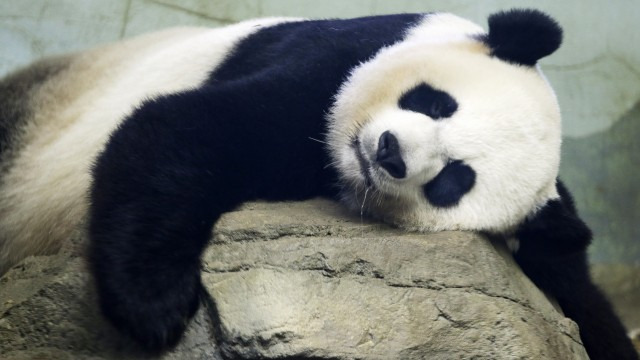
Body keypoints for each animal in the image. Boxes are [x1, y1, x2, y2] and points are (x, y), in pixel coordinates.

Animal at [0, 7, 636, 358]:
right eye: (434, 102)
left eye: (454, 180)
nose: (389, 153)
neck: (335, 166)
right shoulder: (334, 61)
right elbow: (185, 126)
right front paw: (153, 306)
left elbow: (576, 285)